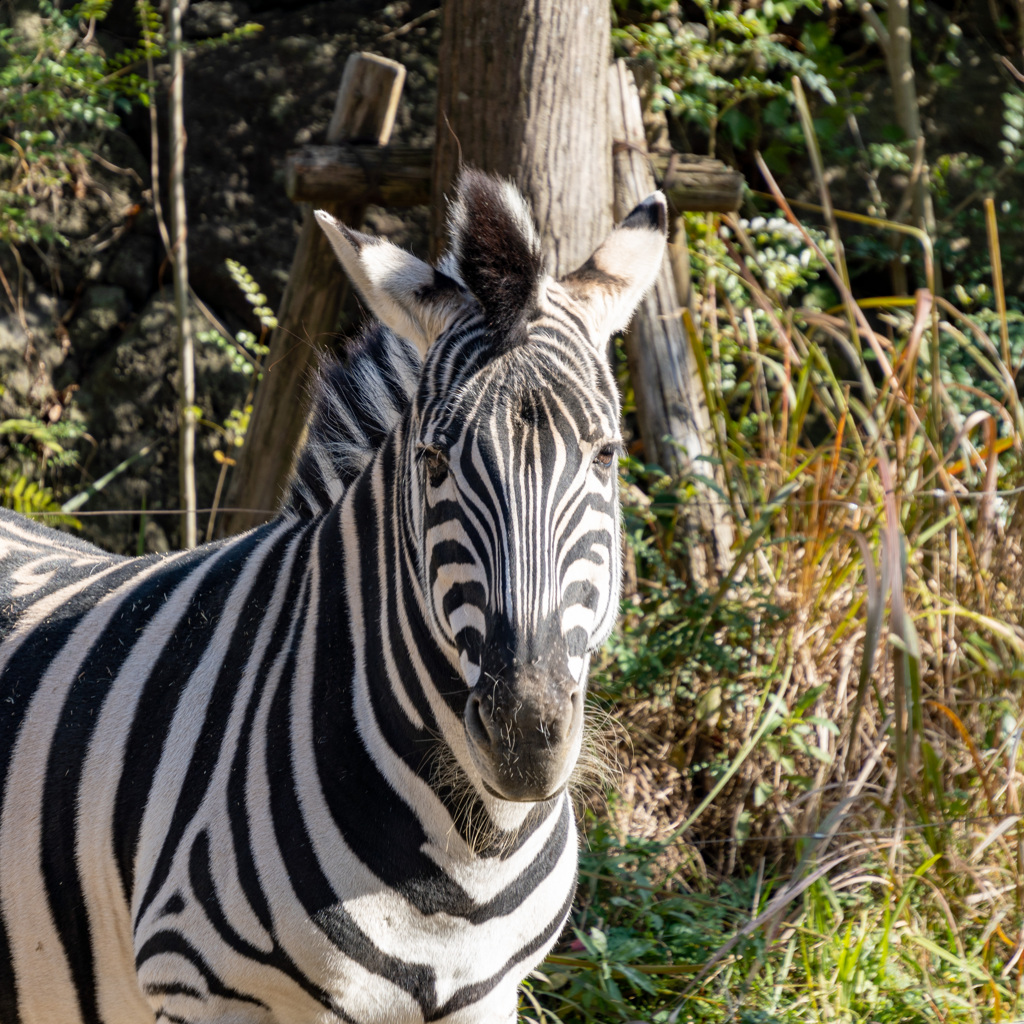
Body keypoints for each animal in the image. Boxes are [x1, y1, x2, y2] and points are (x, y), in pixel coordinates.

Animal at [0, 169, 667, 1024]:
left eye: (606, 455)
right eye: (434, 461)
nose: (526, 735)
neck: (471, 854)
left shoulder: (489, 995)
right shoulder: (201, 990)